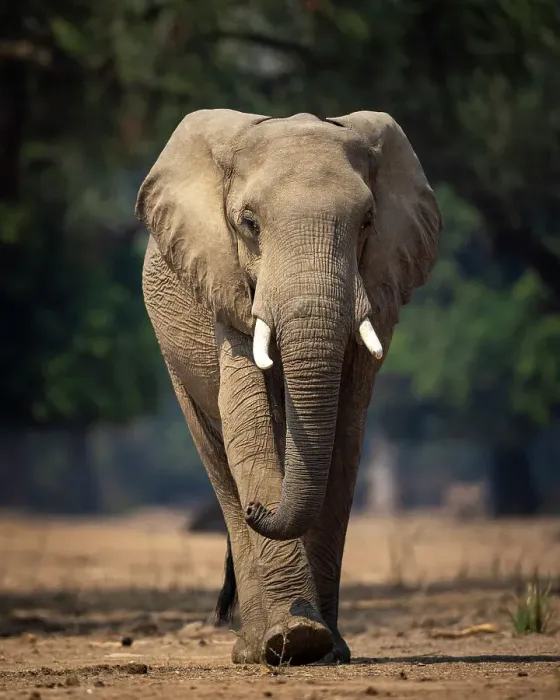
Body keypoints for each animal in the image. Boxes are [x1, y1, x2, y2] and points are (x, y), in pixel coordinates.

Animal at [136, 109, 442, 666]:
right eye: (249, 223)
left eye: (368, 222)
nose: (263, 508)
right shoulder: (225, 287)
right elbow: (247, 423)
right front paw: (294, 639)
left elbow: (345, 438)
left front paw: (325, 648)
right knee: (218, 459)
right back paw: (256, 648)